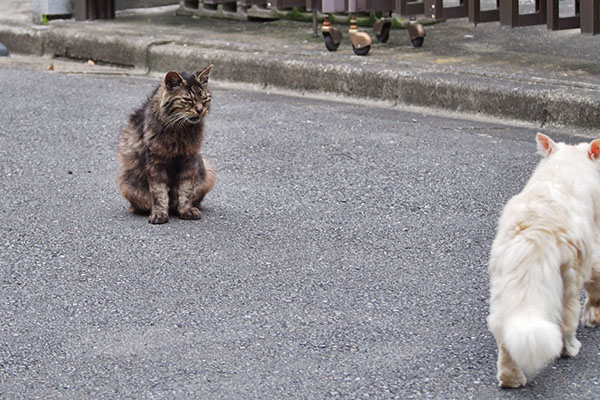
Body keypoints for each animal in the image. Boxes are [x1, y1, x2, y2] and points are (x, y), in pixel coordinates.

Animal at [490, 134, 600, 388]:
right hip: (570, 279)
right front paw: (594, 317)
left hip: (502, 282)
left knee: (505, 333)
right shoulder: (595, 249)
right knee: (567, 321)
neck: (564, 165)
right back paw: (571, 348)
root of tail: (538, 230)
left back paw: (511, 379)